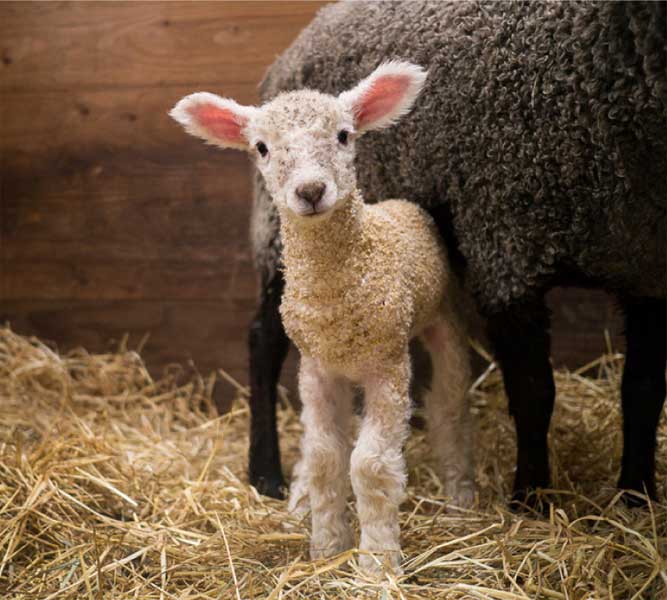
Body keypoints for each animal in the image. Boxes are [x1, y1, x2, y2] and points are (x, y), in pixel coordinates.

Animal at [171, 61, 475, 573]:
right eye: (261, 147)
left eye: (344, 135)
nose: (311, 191)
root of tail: (402, 204)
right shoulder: (316, 369)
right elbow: (325, 457)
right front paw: (327, 547)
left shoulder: (387, 367)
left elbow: (370, 463)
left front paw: (377, 563)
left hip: (444, 321)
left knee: (448, 407)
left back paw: (460, 495)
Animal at [247, 0, 667, 506]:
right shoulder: (504, 250)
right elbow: (534, 390)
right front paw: (530, 496)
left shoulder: (644, 265)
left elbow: (643, 390)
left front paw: (636, 495)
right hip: (280, 236)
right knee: (263, 341)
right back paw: (265, 474)